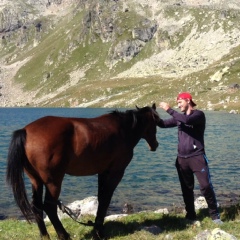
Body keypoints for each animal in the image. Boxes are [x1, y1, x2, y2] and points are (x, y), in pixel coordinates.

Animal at [6, 103, 160, 240]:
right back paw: (64, 235)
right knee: (49, 207)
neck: (122, 130)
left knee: (37, 206)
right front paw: (99, 232)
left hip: (36, 180)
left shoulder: (103, 172)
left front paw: (98, 229)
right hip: (53, 181)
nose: (155, 145)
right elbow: (105, 199)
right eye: (155, 123)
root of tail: (25, 131)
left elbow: (101, 198)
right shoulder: (115, 172)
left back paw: (44, 235)